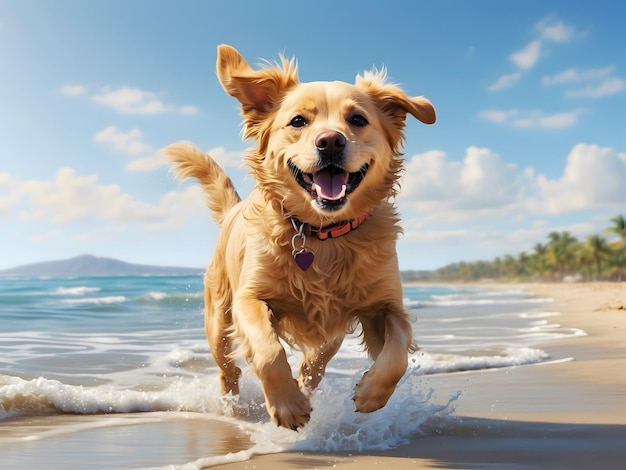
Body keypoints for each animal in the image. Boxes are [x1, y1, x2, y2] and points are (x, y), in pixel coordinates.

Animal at [163, 44, 432, 430]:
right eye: (298, 122)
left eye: (357, 120)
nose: (330, 141)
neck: (322, 234)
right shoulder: (250, 298)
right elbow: (268, 349)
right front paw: (288, 405)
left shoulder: (384, 306)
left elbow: (397, 353)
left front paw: (370, 394)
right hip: (217, 318)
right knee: (227, 367)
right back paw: (232, 405)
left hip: (334, 321)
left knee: (320, 354)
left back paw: (307, 376)